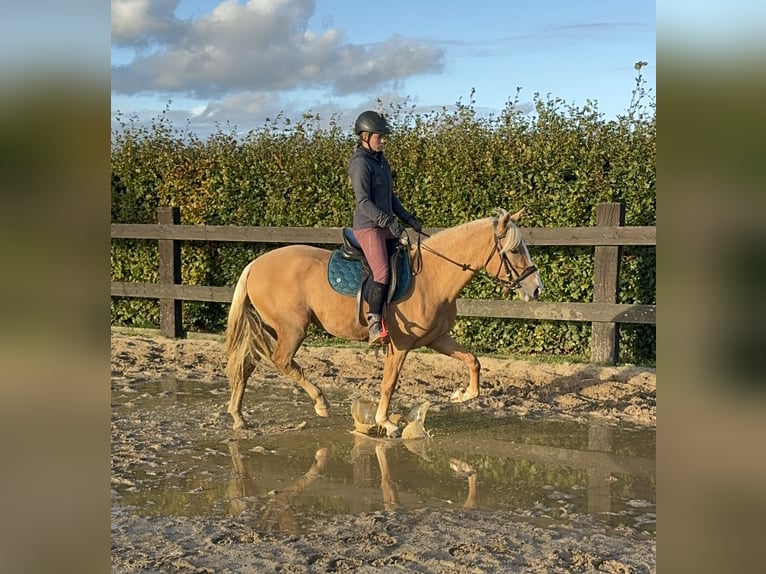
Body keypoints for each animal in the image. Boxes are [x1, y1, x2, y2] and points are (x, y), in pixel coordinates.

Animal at [225, 209, 544, 438]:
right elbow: (389, 383)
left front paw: (462, 394)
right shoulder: (400, 345)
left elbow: (473, 361)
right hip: (292, 329)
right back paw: (321, 403)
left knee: (247, 365)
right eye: (515, 250)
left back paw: (239, 417)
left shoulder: (436, 338)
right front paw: (386, 422)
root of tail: (256, 264)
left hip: (270, 327)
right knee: (282, 361)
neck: (431, 277)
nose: (537, 289)